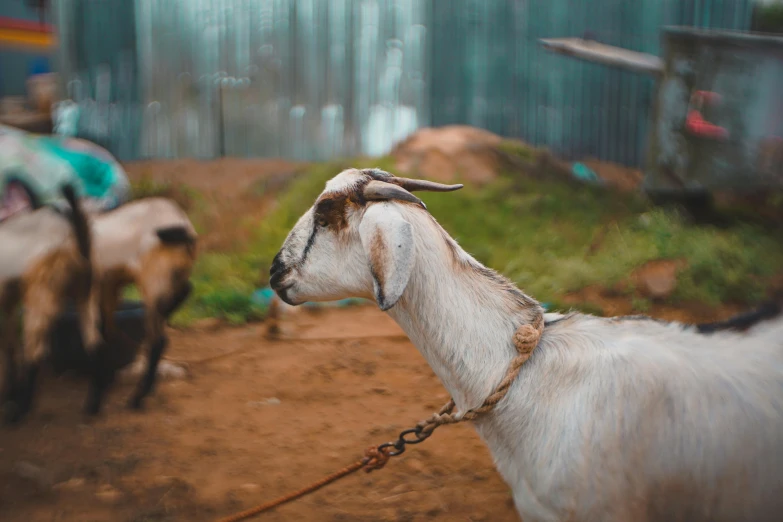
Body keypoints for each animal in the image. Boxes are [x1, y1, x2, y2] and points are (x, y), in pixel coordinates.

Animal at [0, 185, 105, 420]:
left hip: (41, 292)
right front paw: (10, 392)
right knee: (94, 343)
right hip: (86, 292)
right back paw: (92, 406)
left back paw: (20, 410)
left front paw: (11, 396)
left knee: (36, 353)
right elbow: (9, 347)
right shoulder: (7, 301)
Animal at [83, 197, 196, 412]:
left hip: (152, 280)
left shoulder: (93, 287)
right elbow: (106, 333)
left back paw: (137, 399)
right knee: (185, 291)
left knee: (158, 340)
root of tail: (182, 224)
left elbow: (95, 339)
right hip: (174, 275)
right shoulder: (109, 286)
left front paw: (94, 401)